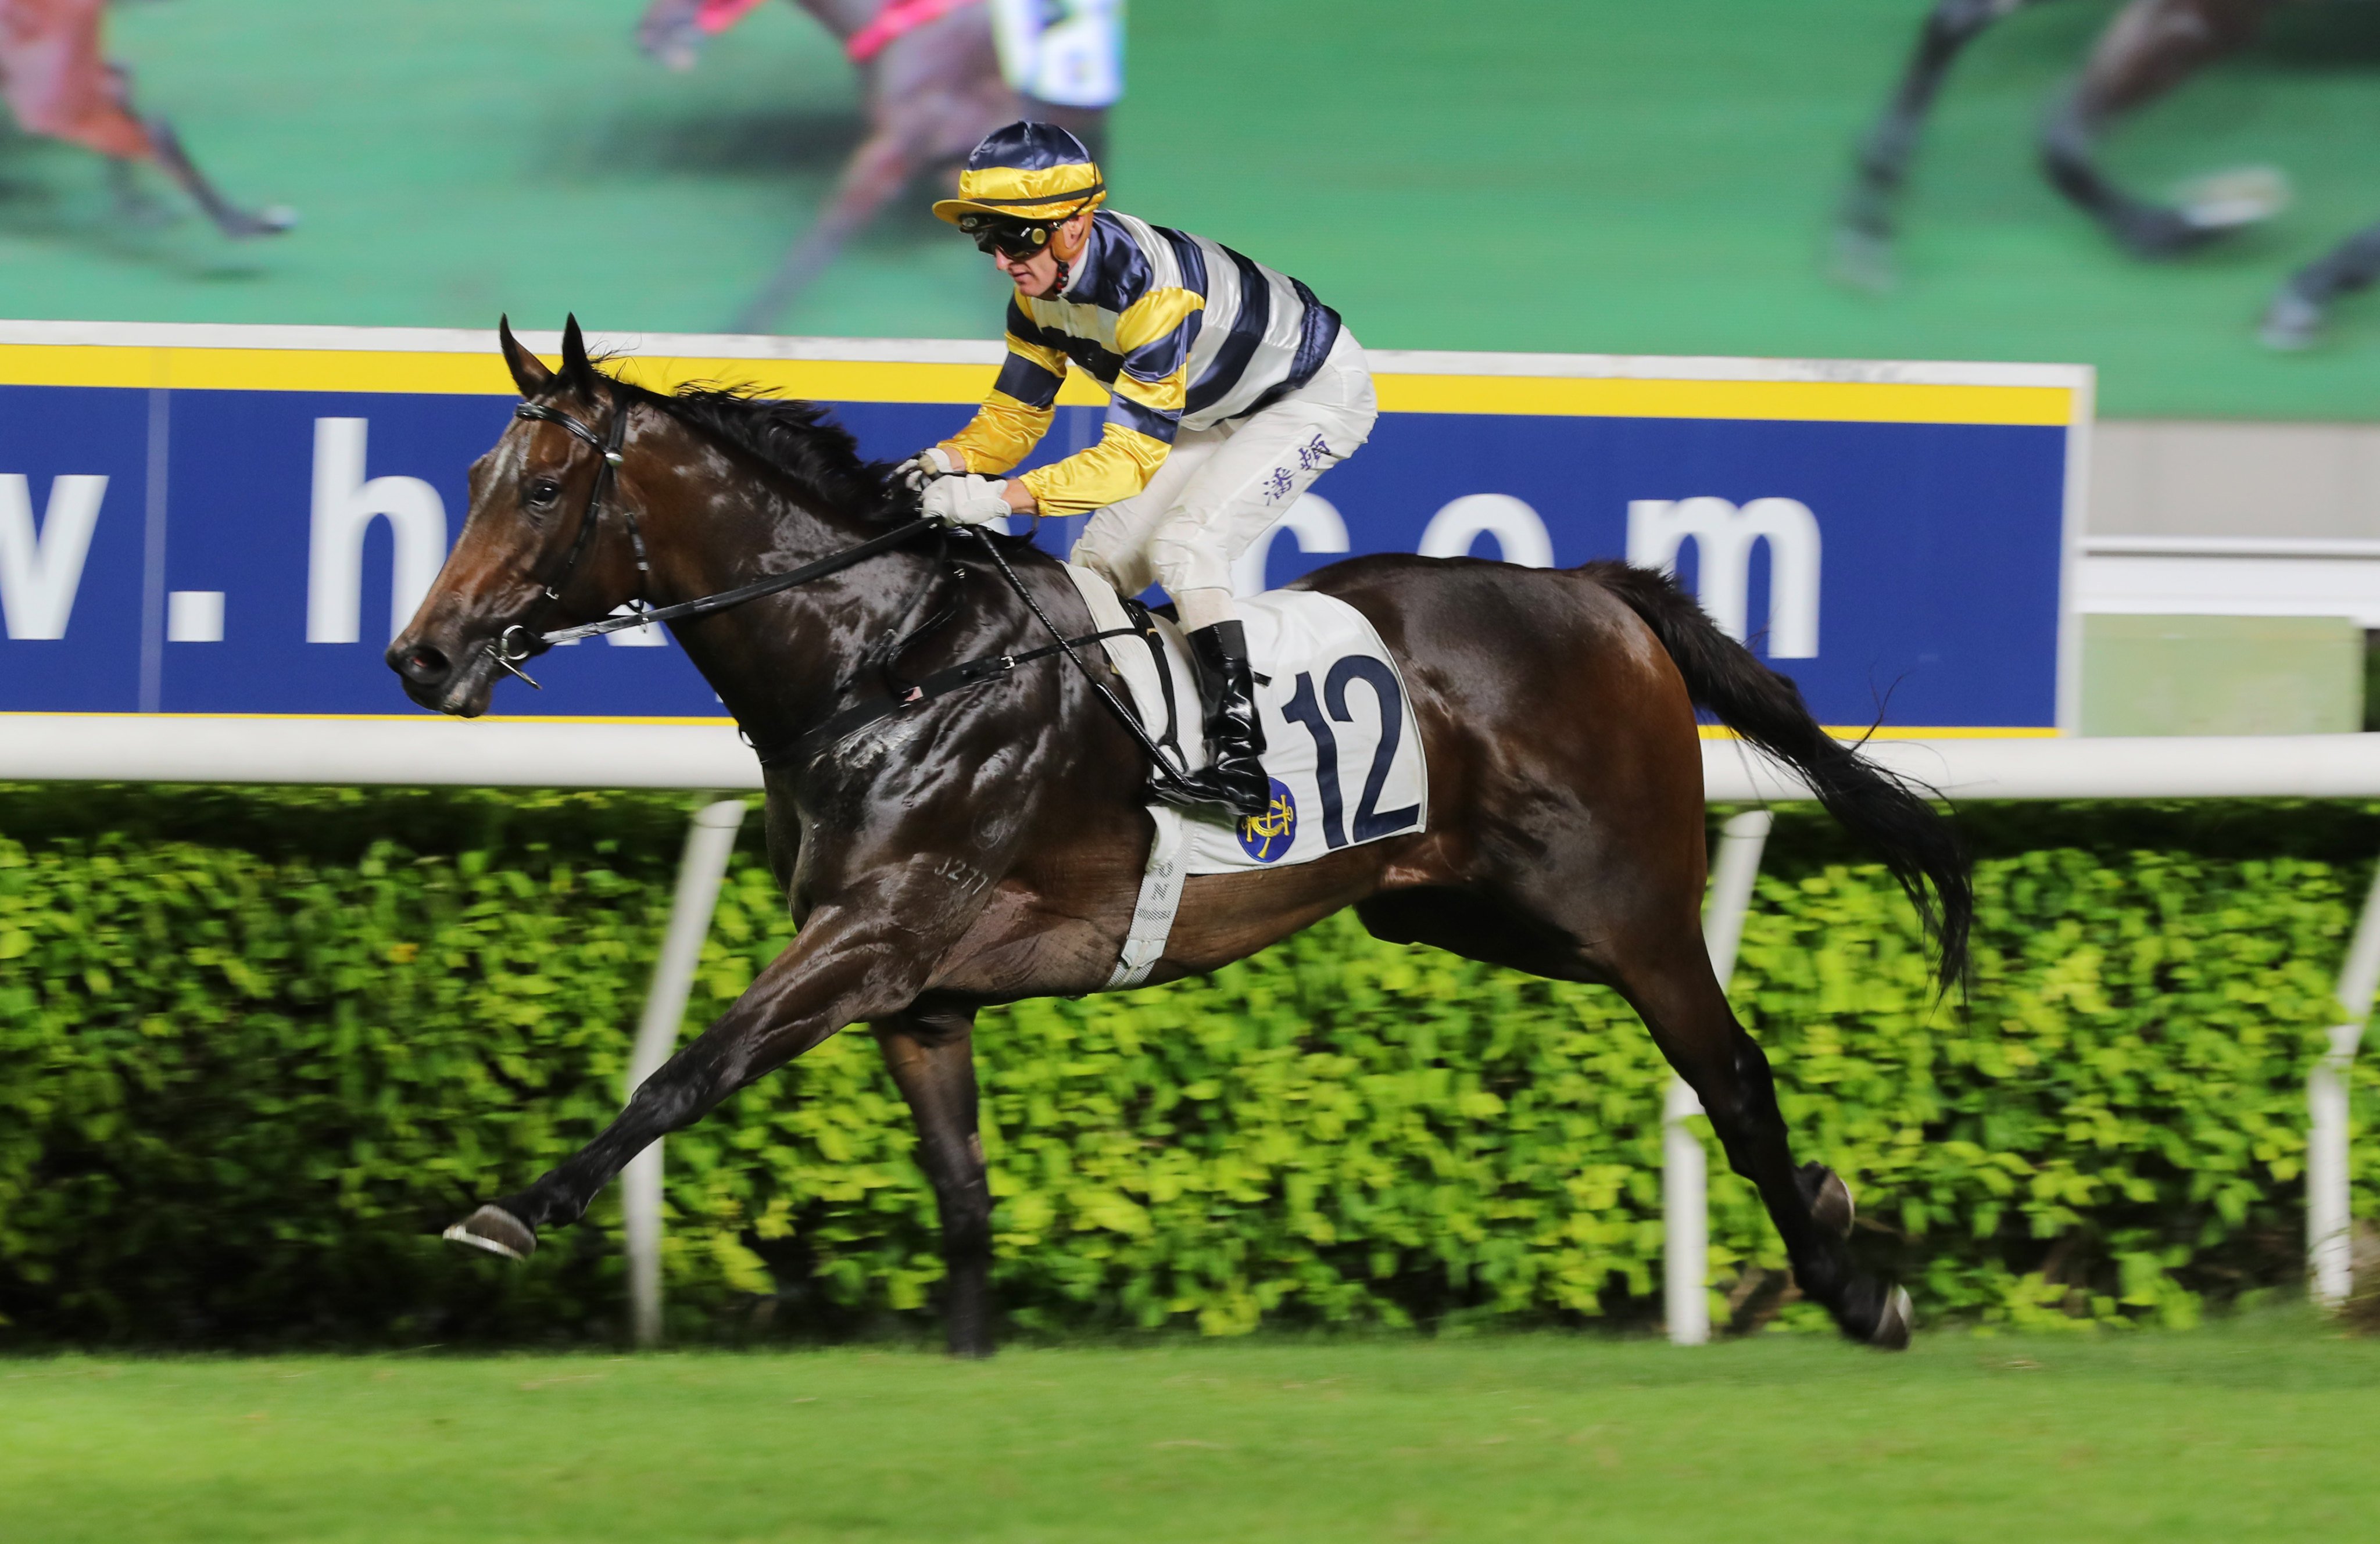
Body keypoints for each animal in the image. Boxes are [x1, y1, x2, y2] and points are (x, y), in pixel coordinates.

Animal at [395, 318, 1970, 1351]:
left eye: (545, 488)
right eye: (471, 479)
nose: (423, 655)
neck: (886, 657)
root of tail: (1597, 592)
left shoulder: (874, 932)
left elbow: (686, 1068)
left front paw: (516, 1207)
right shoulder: (918, 990)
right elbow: (961, 1195)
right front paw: (966, 1363)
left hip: (1626, 905)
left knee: (1733, 1070)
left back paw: (1854, 1287)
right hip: (1458, 903)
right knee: (1713, 1065)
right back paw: (1829, 1214)